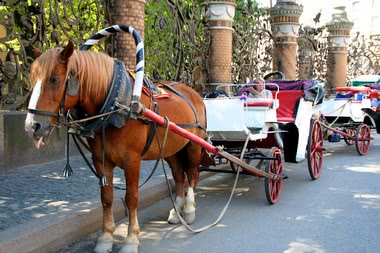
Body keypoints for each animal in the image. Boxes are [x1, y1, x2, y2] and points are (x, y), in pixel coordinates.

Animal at [25, 41, 212, 253]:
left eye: (54, 79)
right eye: (33, 79)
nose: (32, 125)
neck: (117, 106)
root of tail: (195, 93)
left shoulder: (132, 160)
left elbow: (131, 198)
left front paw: (131, 239)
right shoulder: (101, 159)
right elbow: (106, 197)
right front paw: (106, 237)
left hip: (193, 145)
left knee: (192, 173)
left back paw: (188, 209)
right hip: (171, 148)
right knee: (179, 174)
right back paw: (176, 210)